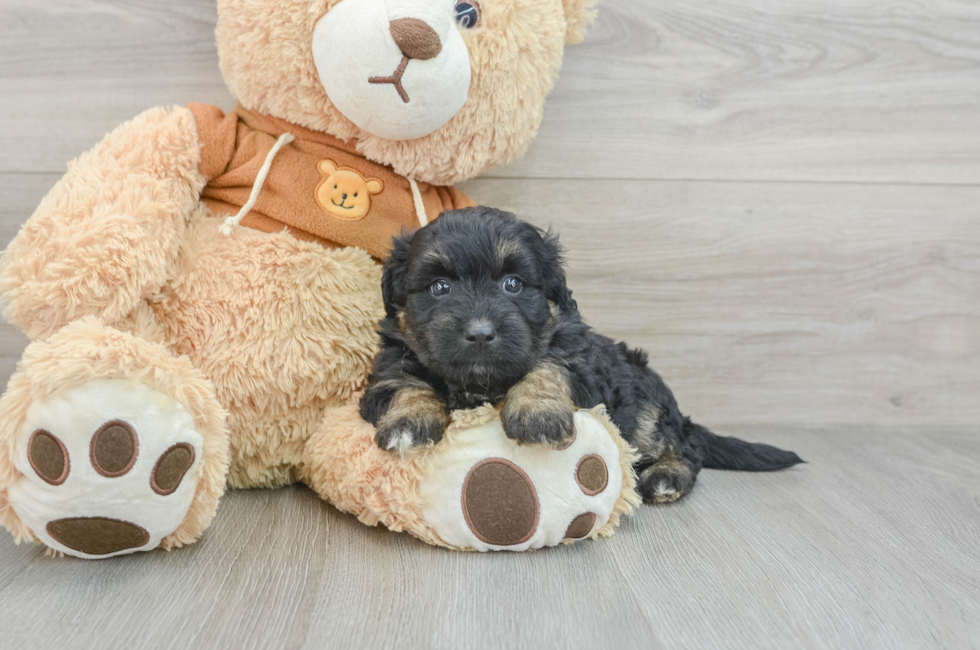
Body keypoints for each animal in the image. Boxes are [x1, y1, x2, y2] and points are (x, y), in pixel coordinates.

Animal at [360, 208, 804, 502]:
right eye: (439, 288)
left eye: (513, 284)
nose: (481, 333)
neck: (481, 382)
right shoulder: (389, 367)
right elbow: (407, 382)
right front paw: (409, 420)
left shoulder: (581, 365)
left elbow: (547, 365)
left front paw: (537, 413)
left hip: (648, 410)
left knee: (685, 447)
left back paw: (667, 477)